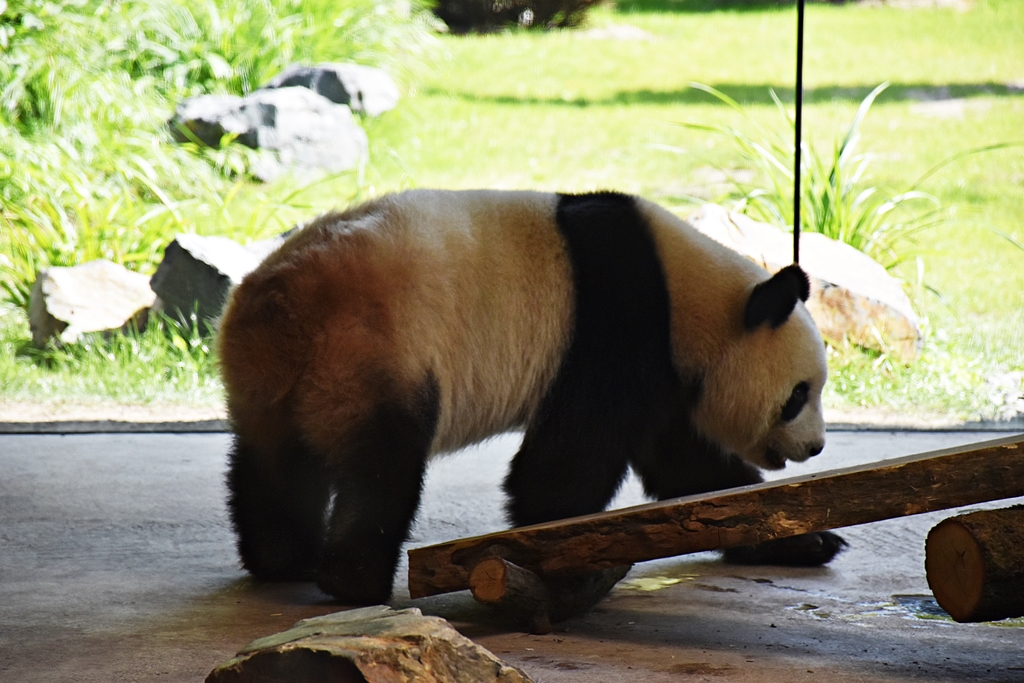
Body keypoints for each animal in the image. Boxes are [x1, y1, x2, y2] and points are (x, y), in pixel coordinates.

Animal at [217, 189, 845, 605]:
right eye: (799, 394)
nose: (815, 447)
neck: (690, 297)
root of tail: (284, 307)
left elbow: (687, 468)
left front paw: (803, 537)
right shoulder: (614, 318)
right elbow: (566, 462)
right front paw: (563, 550)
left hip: (266, 380)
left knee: (273, 467)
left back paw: (282, 561)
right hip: (375, 349)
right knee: (382, 466)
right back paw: (356, 583)